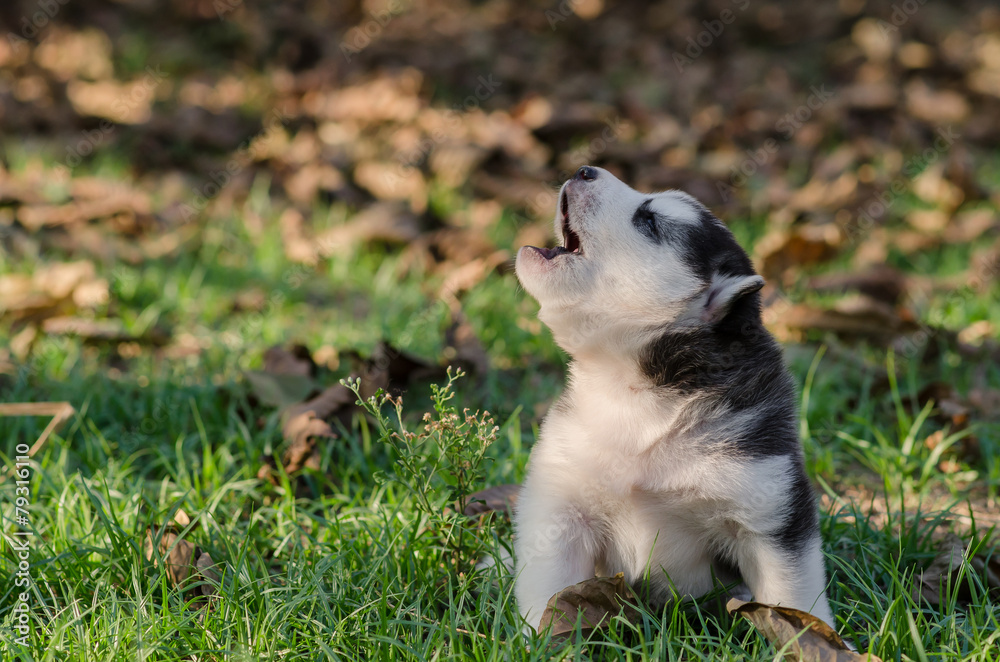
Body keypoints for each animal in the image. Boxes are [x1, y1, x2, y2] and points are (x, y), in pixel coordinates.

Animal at [516, 166, 836, 632]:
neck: (634, 391)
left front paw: (816, 638)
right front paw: (537, 637)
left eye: (649, 221)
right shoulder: (561, 507)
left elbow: (792, 594)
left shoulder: (770, 507)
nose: (584, 169)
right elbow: (548, 593)